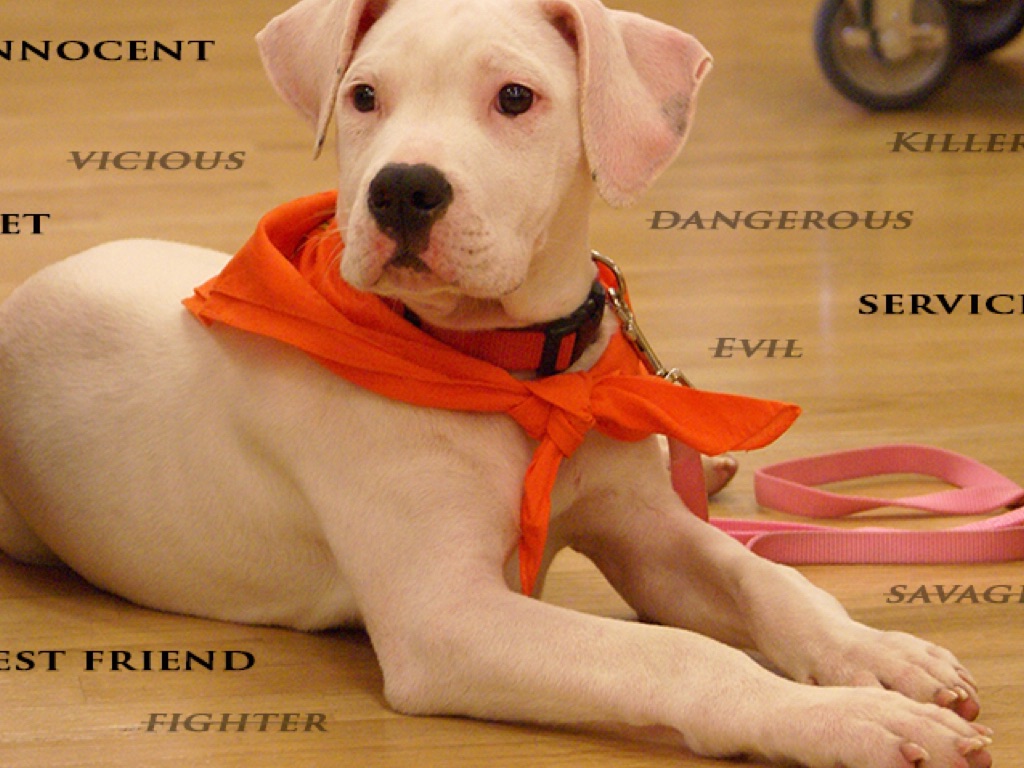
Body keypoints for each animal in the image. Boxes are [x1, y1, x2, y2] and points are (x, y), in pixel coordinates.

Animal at [0, 0, 993, 766]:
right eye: (363, 96)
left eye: (516, 98)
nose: (401, 189)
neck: (511, 370)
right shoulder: (450, 620)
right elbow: (677, 657)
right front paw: (850, 720)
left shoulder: (646, 533)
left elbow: (768, 582)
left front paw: (881, 658)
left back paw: (708, 470)